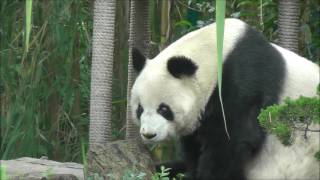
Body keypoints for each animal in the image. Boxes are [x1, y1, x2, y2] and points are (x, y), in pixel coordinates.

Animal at [129, 18, 318, 180]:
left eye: (164, 109)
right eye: (139, 109)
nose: (149, 134)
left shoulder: (245, 80)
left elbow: (231, 141)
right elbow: (194, 147)